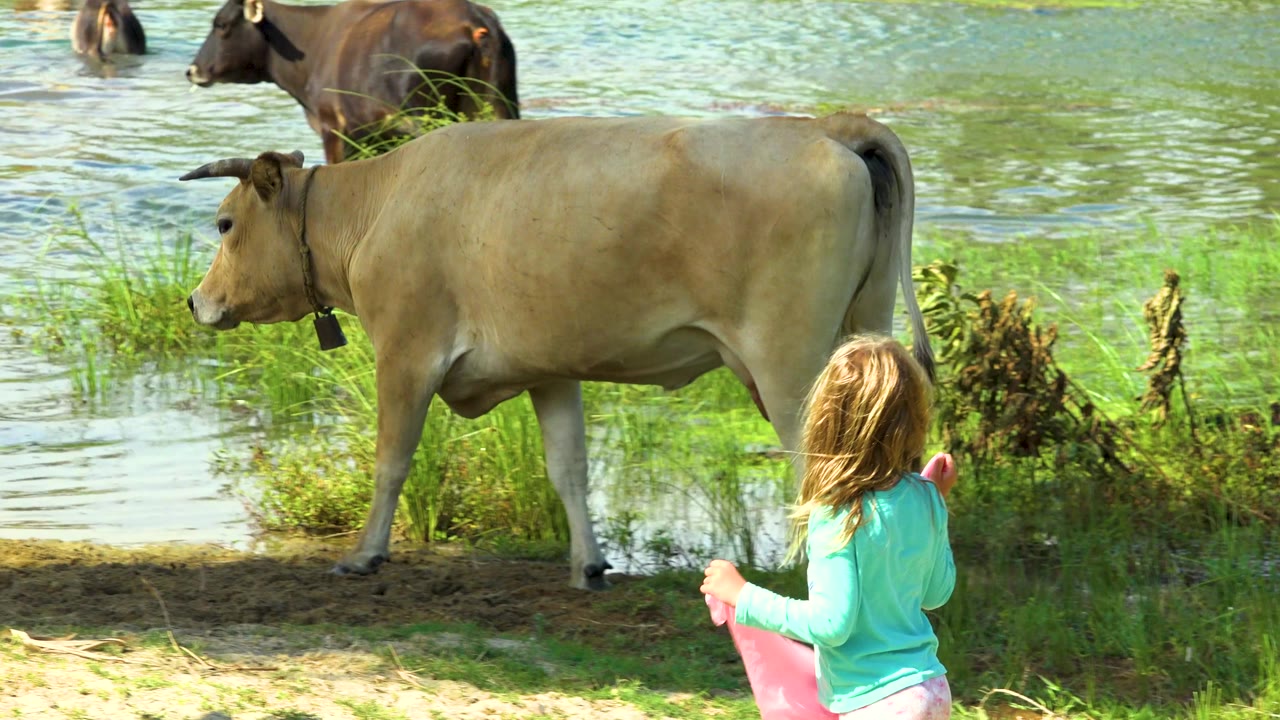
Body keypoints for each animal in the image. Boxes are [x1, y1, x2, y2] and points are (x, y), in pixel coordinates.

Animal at [178, 111, 935, 590]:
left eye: (224, 223)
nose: (195, 301)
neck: (376, 205)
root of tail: (825, 126)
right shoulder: (548, 369)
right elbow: (568, 467)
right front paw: (589, 564)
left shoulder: (406, 352)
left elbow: (391, 461)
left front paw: (364, 556)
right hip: (862, 334)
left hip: (788, 364)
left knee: (821, 465)